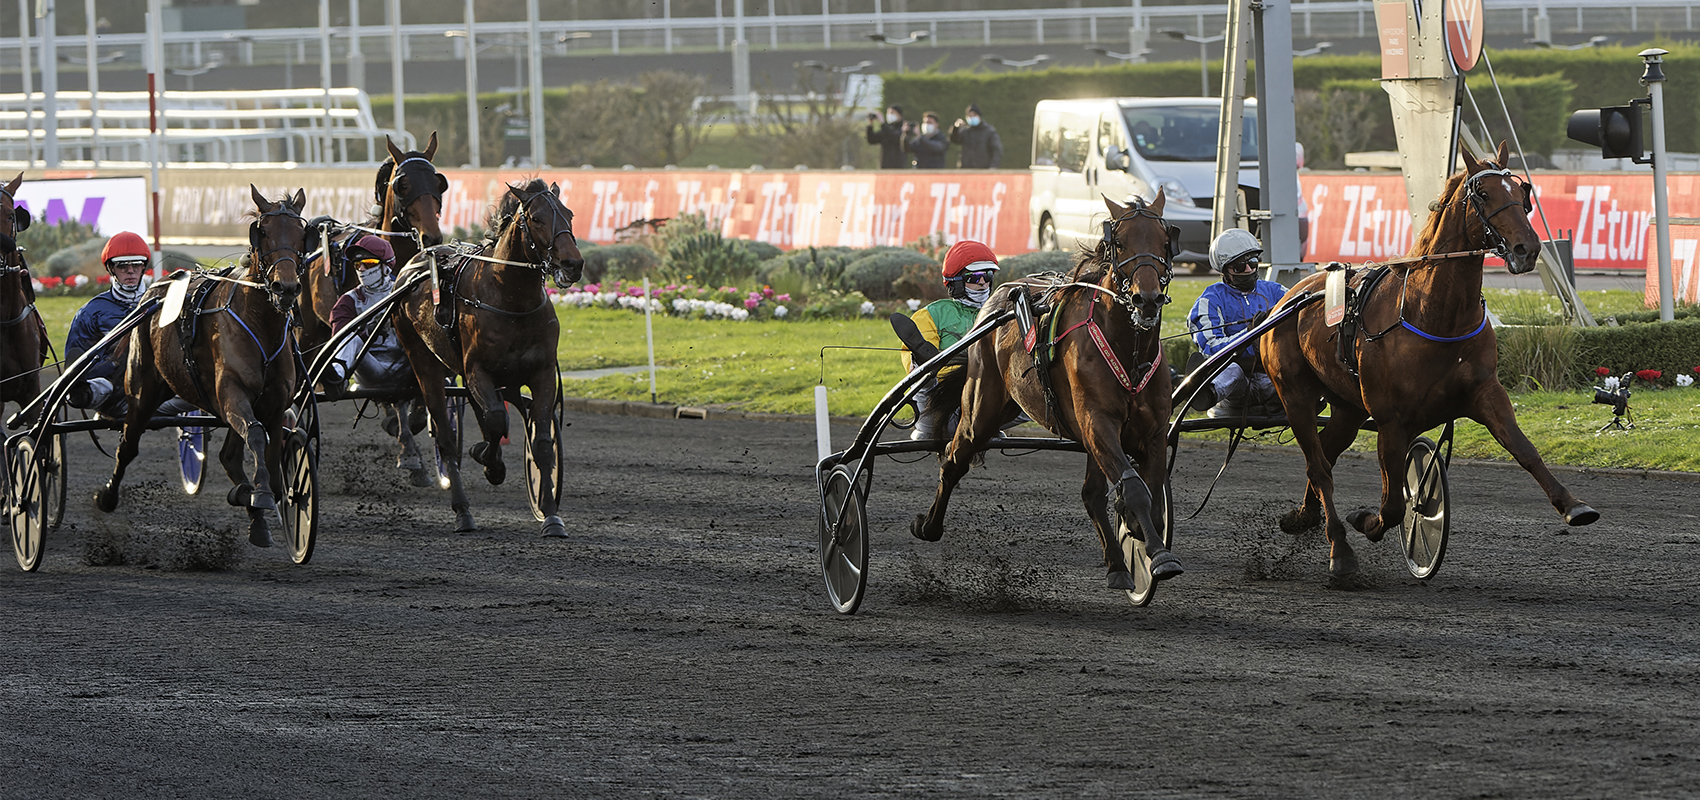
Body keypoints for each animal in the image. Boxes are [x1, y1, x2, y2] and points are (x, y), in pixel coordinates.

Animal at [97, 187, 309, 550]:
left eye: (300, 232)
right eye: (263, 231)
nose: (287, 288)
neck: (261, 324)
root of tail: (153, 292)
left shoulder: (273, 402)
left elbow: (269, 453)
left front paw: (257, 497)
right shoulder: (232, 393)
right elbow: (256, 436)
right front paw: (258, 494)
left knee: (229, 455)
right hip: (142, 391)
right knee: (128, 445)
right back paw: (108, 496)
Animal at [391, 178, 584, 536]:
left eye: (569, 214)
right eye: (536, 218)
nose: (572, 264)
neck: (511, 299)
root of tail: (415, 262)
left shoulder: (541, 373)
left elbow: (541, 442)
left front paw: (551, 515)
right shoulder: (478, 370)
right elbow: (495, 420)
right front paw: (487, 459)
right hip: (423, 361)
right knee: (445, 434)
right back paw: (463, 511)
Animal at [918, 196, 1183, 591]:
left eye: (1165, 242)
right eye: (1120, 243)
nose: (1146, 299)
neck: (1128, 350)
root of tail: (997, 298)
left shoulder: (1150, 433)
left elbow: (1149, 499)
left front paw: (1140, 536)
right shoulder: (1097, 423)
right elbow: (1135, 490)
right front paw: (1159, 556)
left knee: (1091, 494)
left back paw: (1117, 566)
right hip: (981, 410)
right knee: (953, 458)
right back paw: (928, 526)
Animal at [1258, 140, 1598, 580]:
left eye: (1522, 193)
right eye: (1483, 193)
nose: (1528, 249)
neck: (1433, 312)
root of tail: (1289, 295)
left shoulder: (1485, 392)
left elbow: (1524, 450)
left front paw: (1573, 505)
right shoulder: (1391, 420)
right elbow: (1392, 505)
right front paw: (1369, 522)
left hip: (1348, 406)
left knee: (1326, 455)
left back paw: (1304, 515)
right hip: (1294, 393)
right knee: (1319, 467)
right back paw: (1339, 550)